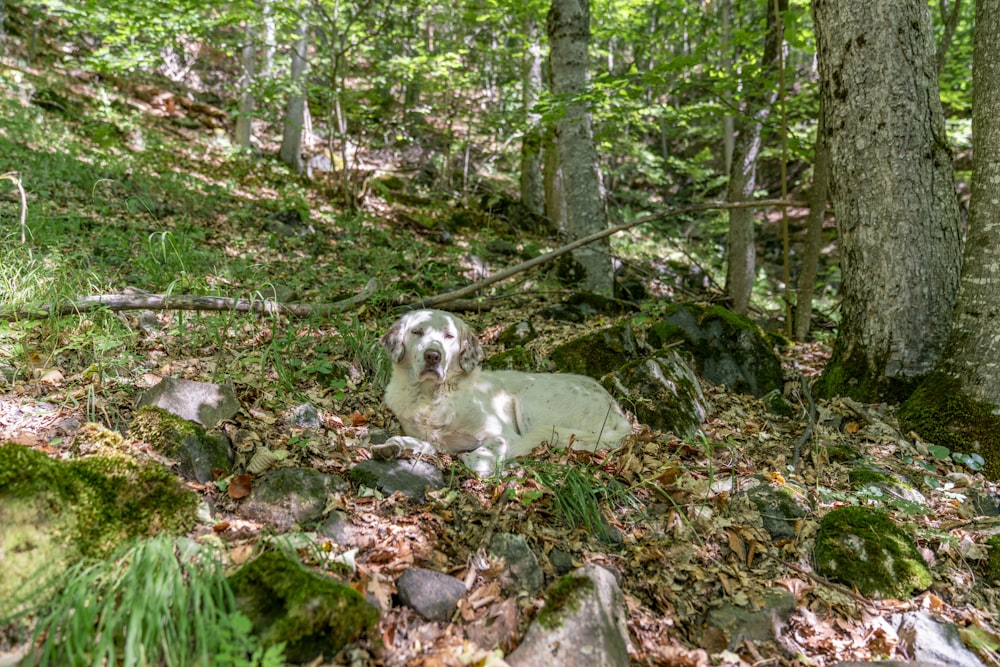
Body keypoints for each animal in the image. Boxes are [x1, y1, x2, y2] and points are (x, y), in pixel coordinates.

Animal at [376, 310, 632, 474]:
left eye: (449, 336)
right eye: (417, 332)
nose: (432, 356)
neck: (432, 396)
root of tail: (620, 416)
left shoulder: (504, 435)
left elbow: (478, 457)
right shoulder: (436, 440)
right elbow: (418, 442)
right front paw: (394, 445)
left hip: (530, 397)